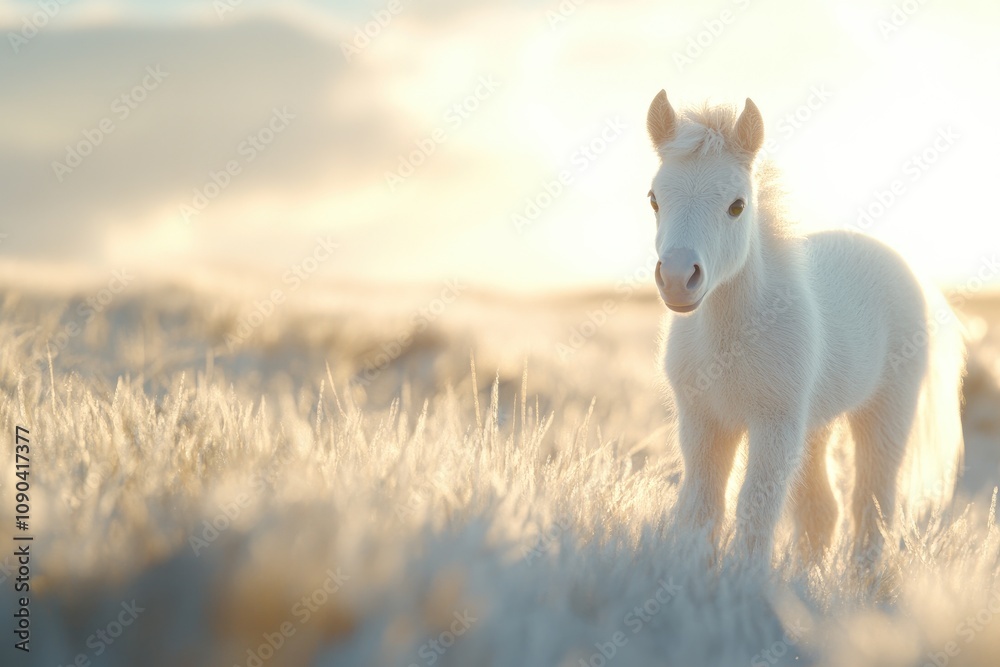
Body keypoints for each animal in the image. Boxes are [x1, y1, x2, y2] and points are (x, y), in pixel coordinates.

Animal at [645, 90, 965, 566]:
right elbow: (702, 505)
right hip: (817, 424)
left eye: (737, 205)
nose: (678, 278)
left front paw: (746, 578)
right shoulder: (703, 422)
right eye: (654, 199)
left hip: (886, 412)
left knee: (873, 504)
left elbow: (754, 507)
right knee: (822, 510)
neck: (729, 341)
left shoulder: (775, 425)